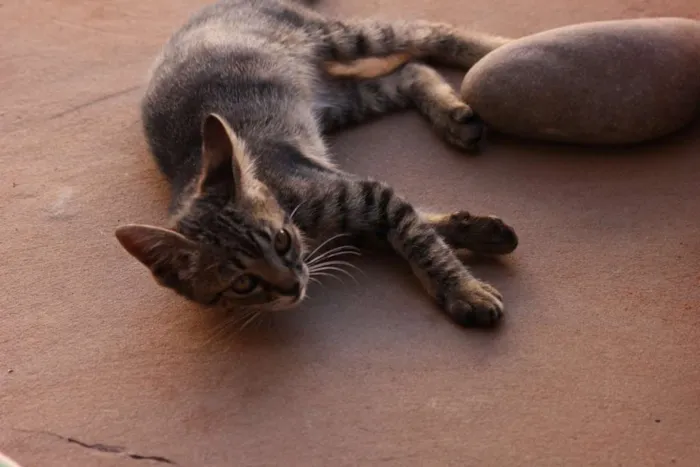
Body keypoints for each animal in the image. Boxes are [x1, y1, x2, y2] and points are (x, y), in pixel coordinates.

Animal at [116, 0, 520, 330]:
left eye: (280, 240)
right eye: (242, 283)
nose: (292, 285)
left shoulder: (367, 194)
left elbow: (420, 239)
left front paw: (463, 290)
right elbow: (416, 222)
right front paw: (475, 230)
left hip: (337, 37)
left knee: (426, 34)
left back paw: (498, 48)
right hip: (338, 102)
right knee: (410, 72)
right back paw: (452, 115)